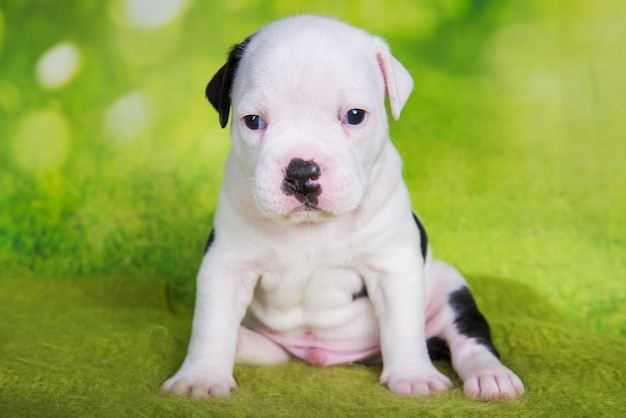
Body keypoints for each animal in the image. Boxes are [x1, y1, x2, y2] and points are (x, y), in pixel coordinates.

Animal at [161, 14, 520, 402]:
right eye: (253, 121)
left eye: (355, 115)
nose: (302, 172)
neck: (311, 229)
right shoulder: (227, 265)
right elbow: (211, 326)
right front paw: (201, 377)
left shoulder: (393, 266)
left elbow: (403, 327)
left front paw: (413, 376)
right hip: (277, 346)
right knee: (264, 349)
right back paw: (241, 340)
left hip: (448, 288)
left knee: (470, 339)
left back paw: (491, 376)